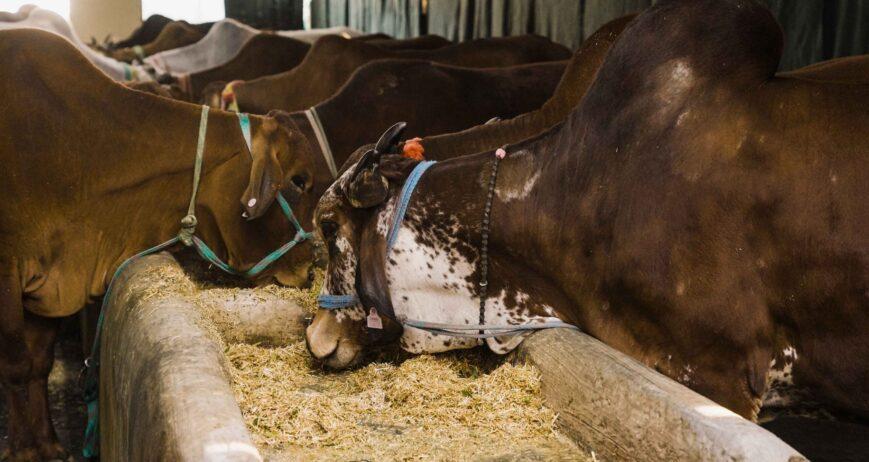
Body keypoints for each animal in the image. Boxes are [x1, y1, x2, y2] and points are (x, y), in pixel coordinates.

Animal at [0, 29, 318, 460]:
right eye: (300, 180)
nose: (310, 266)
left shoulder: (48, 282)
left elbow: (38, 362)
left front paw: (48, 443)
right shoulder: (7, 274)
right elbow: (16, 367)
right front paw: (24, 450)